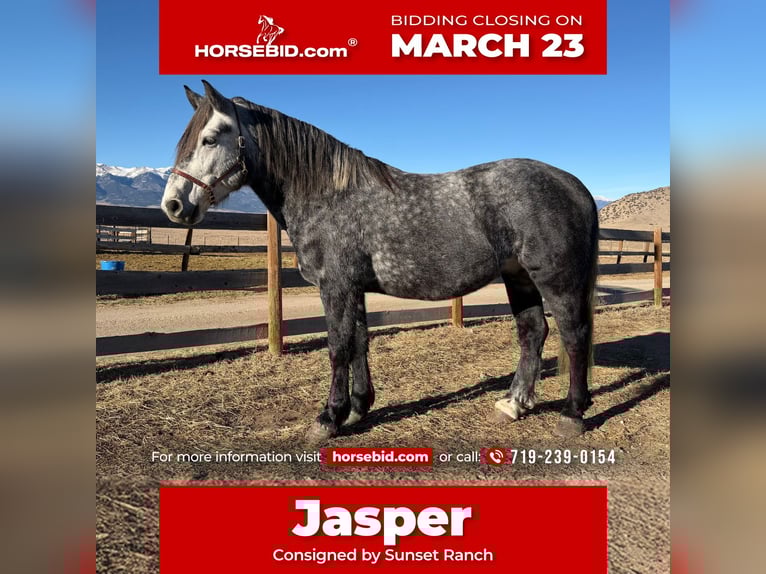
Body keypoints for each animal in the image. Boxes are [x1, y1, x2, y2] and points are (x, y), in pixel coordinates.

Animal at [161, 81, 599, 442]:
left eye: (210, 138)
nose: (174, 205)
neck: (329, 195)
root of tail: (574, 184)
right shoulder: (354, 288)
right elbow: (359, 342)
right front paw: (358, 408)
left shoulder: (335, 287)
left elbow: (338, 347)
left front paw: (328, 418)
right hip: (518, 277)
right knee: (533, 332)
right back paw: (513, 404)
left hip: (555, 279)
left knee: (574, 335)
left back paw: (572, 414)